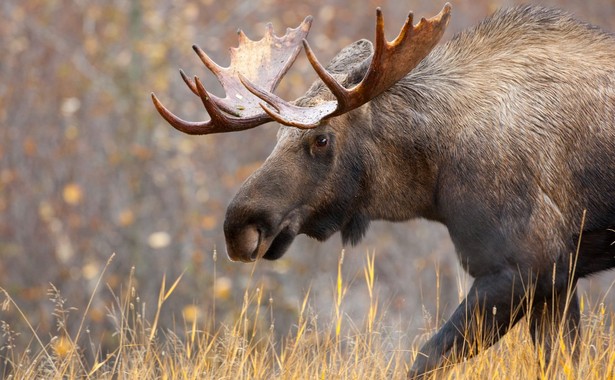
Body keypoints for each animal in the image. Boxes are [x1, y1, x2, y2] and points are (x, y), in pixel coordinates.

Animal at [150, 2, 615, 378]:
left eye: (321, 139)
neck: (433, 177)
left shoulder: (524, 265)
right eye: (276, 137)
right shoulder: (558, 279)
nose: (238, 227)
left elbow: (425, 359)